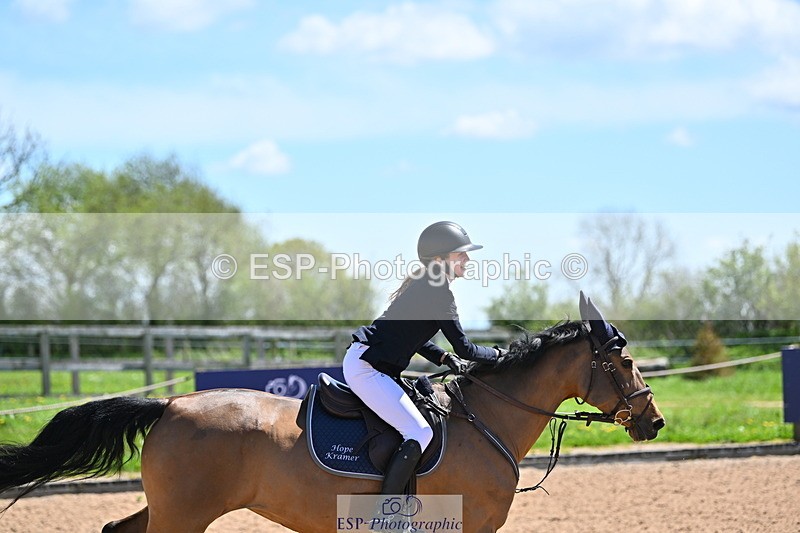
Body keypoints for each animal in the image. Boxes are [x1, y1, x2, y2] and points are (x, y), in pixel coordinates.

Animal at [0, 293, 665, 532]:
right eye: (627, 362)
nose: (654, 422)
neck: (487, 421)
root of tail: (169, 403)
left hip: (173, 506)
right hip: (185, 514)